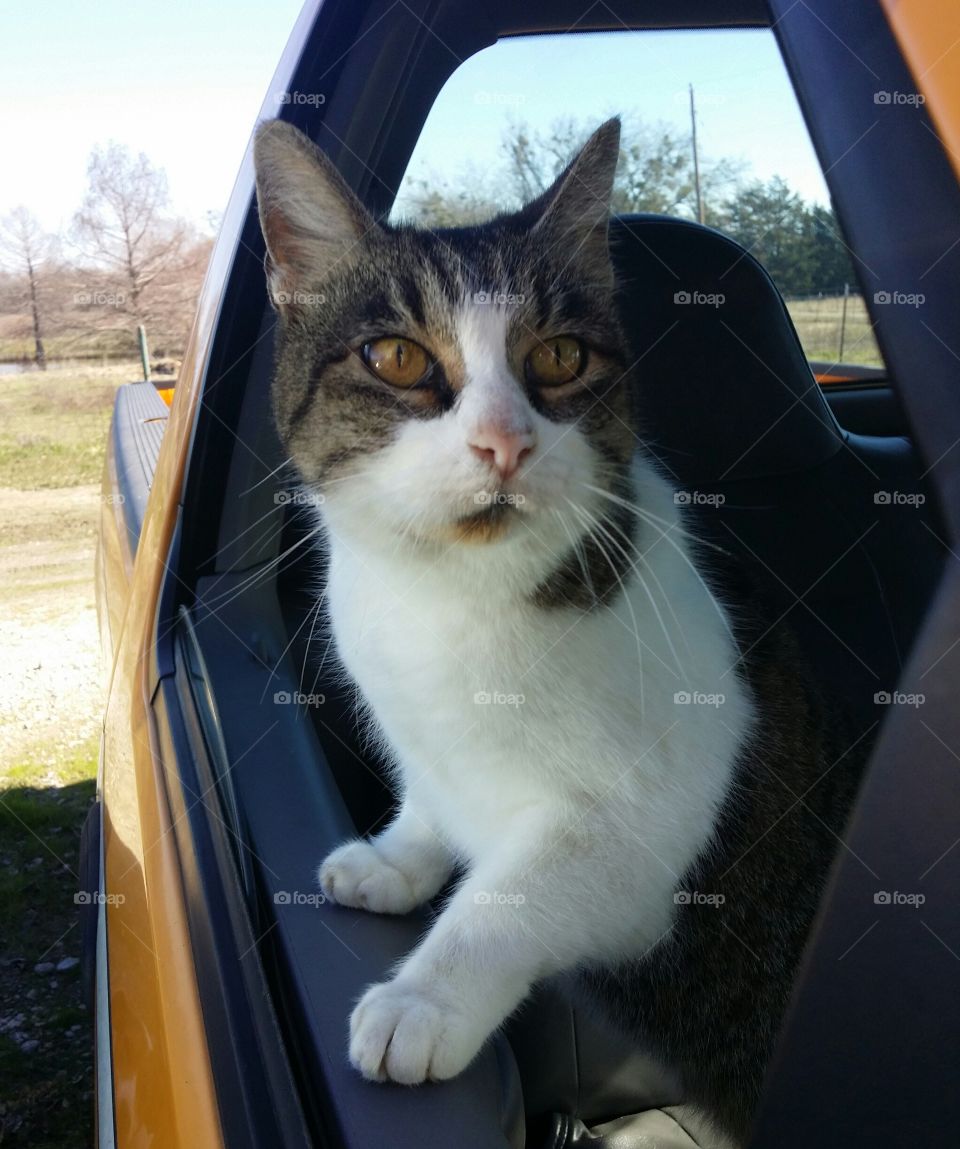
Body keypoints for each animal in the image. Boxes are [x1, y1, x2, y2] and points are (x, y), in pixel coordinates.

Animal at [252, 114, 868, 1139]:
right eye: (396, 357)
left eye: (559, 359)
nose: (504, 442)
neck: (446, 598)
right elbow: (432, 793)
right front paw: (397, 856)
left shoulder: (649, 824)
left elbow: (512, 894)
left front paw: (424, 997)